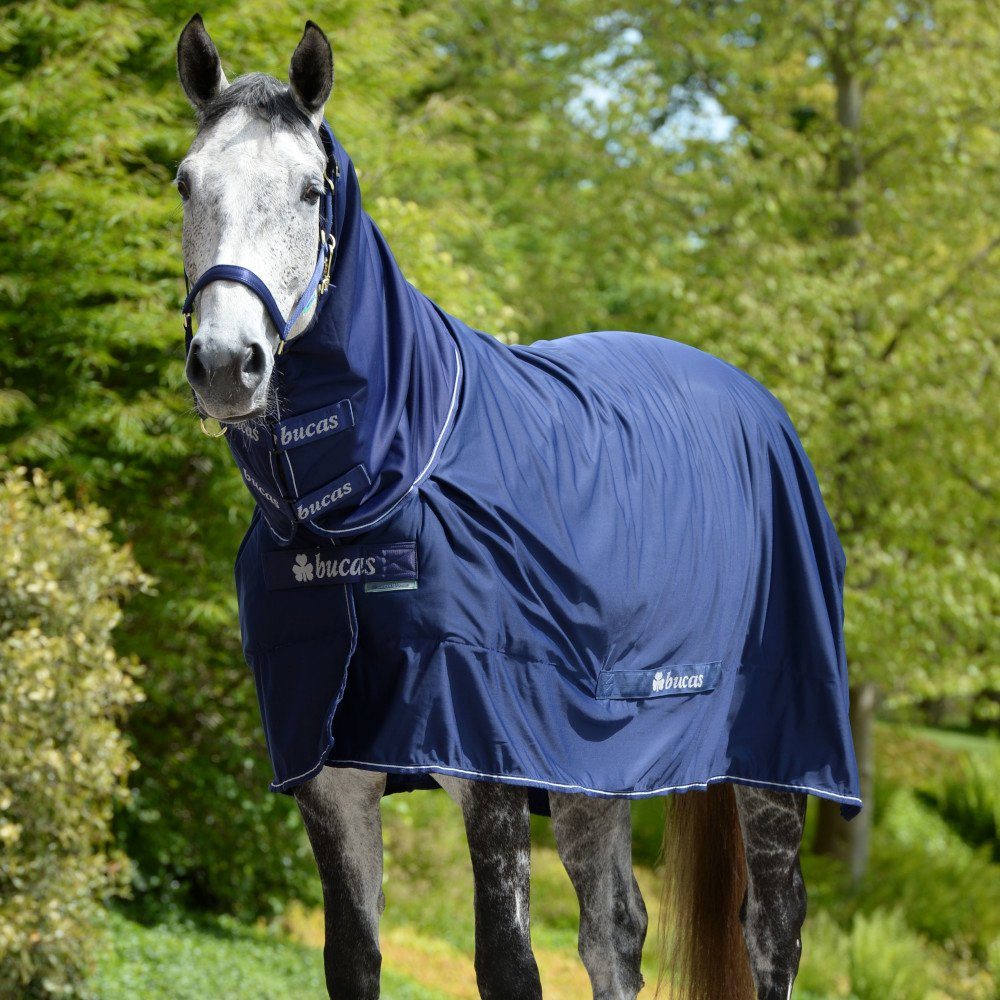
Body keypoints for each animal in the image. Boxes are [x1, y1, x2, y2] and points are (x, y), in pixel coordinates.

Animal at [174, 16, 860, 1000]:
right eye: (186, 181)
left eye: (310, 190)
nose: (229, 363)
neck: (384, 486)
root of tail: (756, 403)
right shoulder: (331, 776)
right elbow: (352, 959)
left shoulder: (487, 764)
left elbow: (506, 963)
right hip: (593, 769)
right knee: (616, 931)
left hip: (775, 758)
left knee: (774, 930)